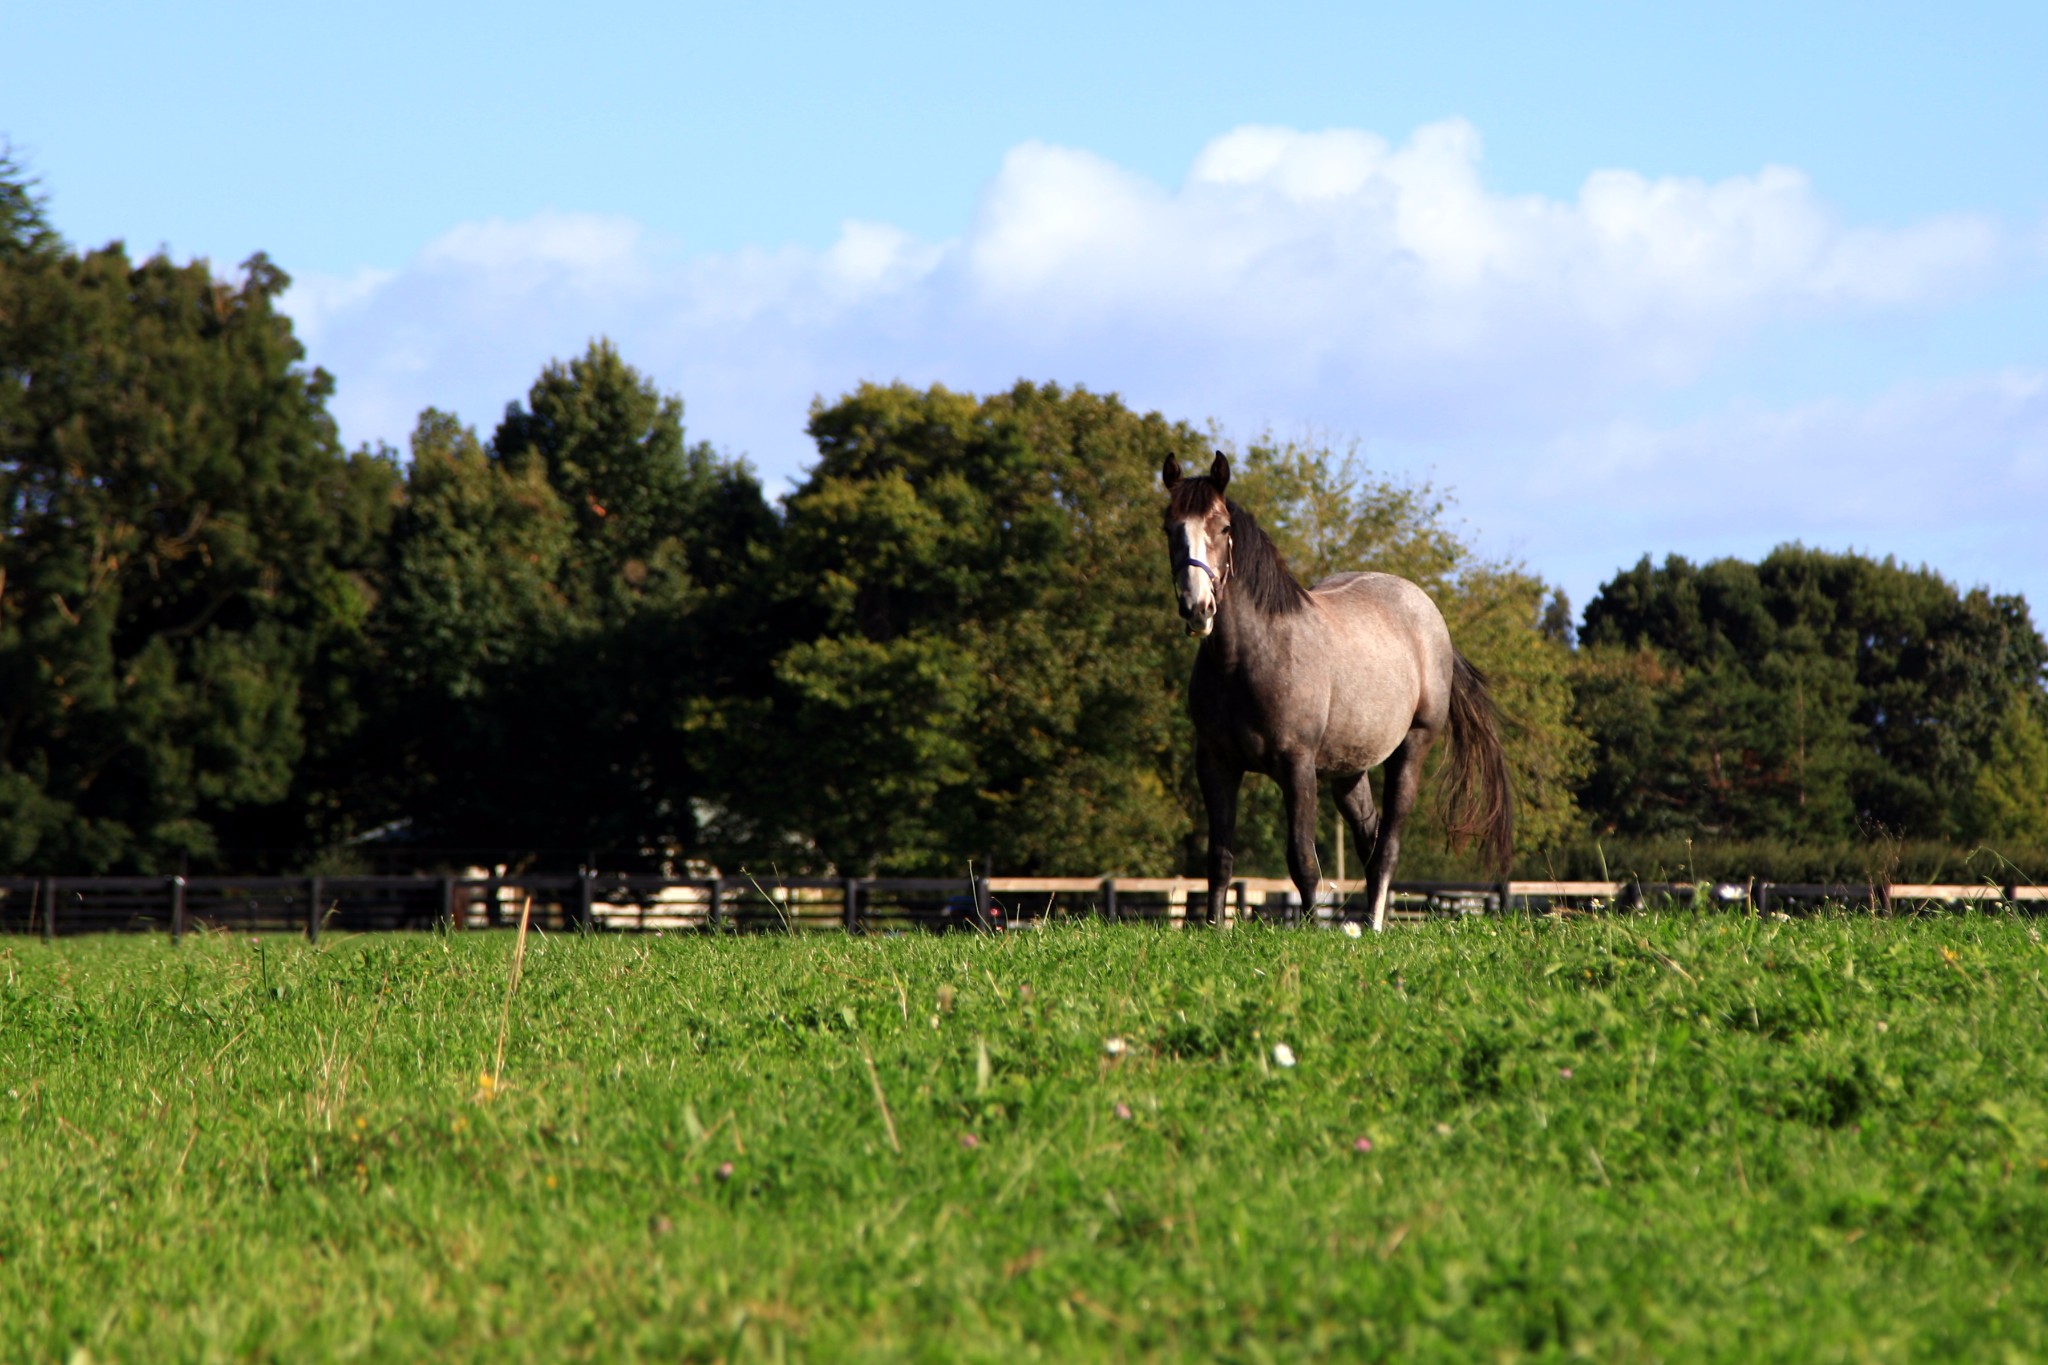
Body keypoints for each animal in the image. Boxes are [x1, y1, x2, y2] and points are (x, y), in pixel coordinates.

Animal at [1163, 454, 1515, 933]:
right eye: (1170, 527)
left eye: (1222, 527)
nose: (1197, 608)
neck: (1249, 658)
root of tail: (1428, 614)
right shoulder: (1215, 764)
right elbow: (1219, 857)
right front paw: (1214, 929)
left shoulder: (1297, 765)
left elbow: (1302, 859)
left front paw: (1313, 929)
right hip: (1350, 772)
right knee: (1370, 839)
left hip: (1412, 748)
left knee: (1387, 846)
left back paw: (1373, 924)